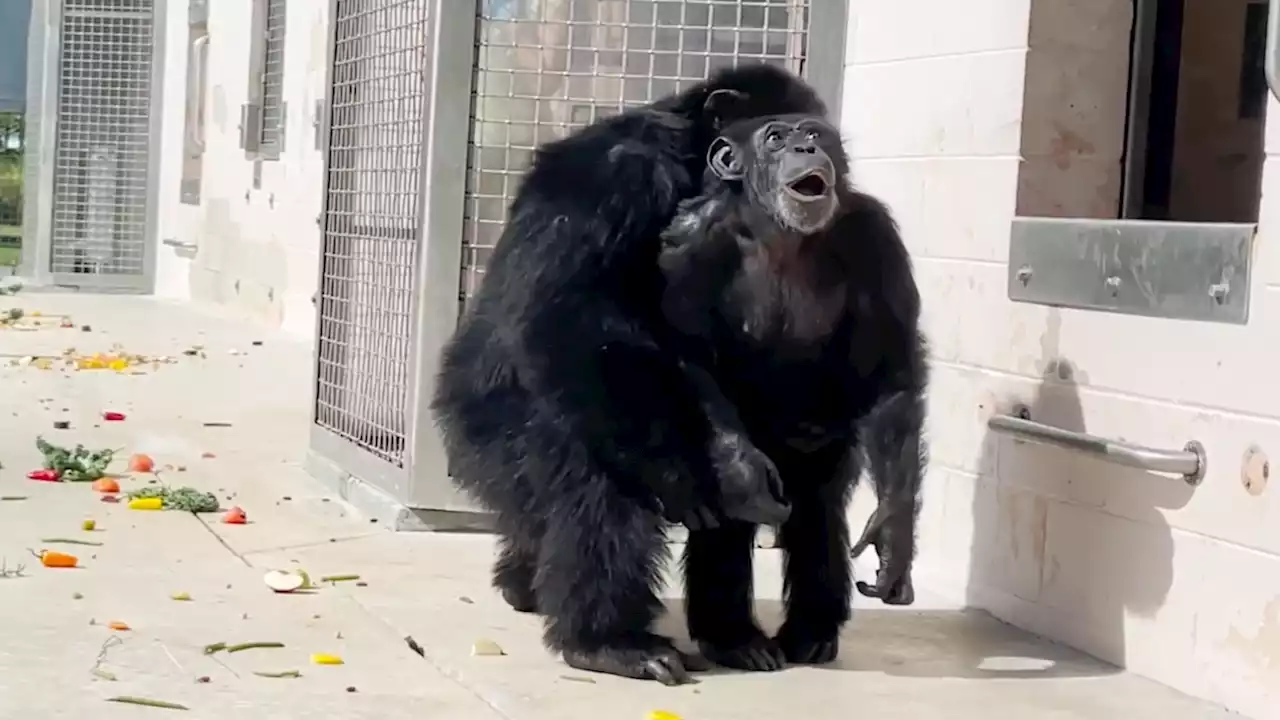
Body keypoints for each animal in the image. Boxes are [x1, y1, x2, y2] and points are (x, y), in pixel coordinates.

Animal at [430, 63, 824, 681]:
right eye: (779, 135)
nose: (813, 151)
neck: (688, 167)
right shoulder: (614, 179)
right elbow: (568, 315)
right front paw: (672, 476)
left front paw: (742, 468)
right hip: (490, 436)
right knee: (596, 480)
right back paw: (608, 640)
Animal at [660, 110, 931, 666]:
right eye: (776, 138)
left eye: (814, 132)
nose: (806, 147)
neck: (779, 232)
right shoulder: (691, 242)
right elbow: (687, 350)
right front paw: (742, 473)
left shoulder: (875, 237)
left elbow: (891, 373)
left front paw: (893, 535)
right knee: (732, 520)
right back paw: (734, 638)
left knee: (816, 512)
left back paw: (811, 632)